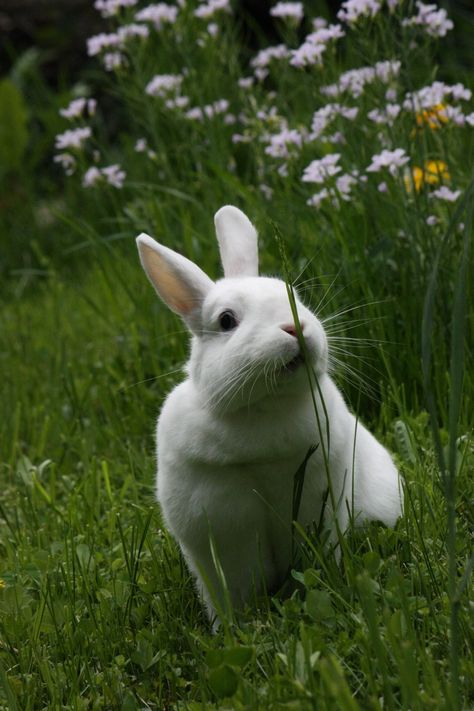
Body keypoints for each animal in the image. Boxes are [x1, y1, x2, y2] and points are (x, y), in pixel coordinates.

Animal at [137, 204, 404, 624]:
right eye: (226, 320)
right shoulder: (222, 534)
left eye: (291, 294)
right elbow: (234, 588)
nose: (295, 327)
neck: (266, 407)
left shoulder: (320, 504)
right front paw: (233, 626)